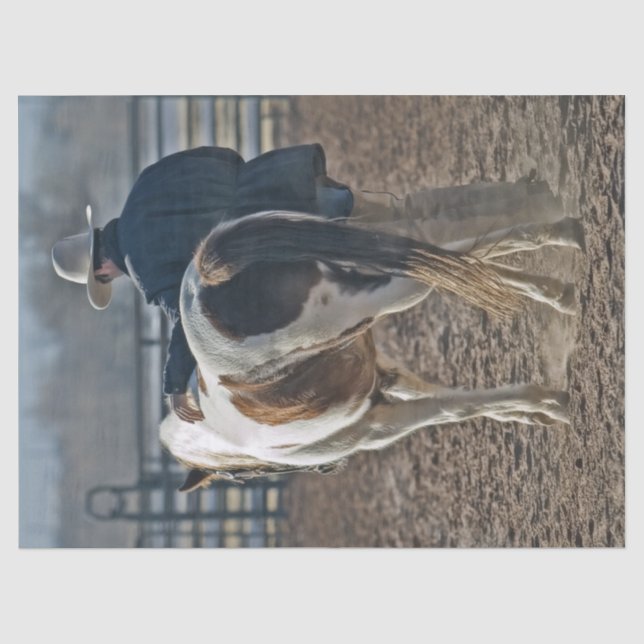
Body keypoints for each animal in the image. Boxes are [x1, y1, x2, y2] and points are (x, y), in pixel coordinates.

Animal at [159, 180, 585, 492]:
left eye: (241, 475)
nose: (328, 468)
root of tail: (204, 278)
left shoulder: (378, 428)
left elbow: (452, 409)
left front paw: (549, 406)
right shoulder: (383, 377)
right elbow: (448, 397)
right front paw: (533, 410)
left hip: (383, 290)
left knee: (457, 258)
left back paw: (566, 250)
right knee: (459, 255)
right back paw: (563, 260)